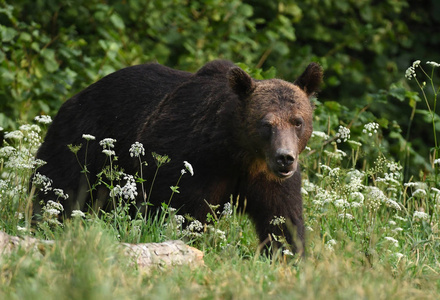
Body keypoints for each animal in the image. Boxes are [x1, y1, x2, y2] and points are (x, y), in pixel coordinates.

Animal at [33, 59, 324, 254]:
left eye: (297, 121)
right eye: (267, 124)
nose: (285, 158)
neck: (238, 153)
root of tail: (76, 96)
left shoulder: (269, 179)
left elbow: (282, 221)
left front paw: (287, 255)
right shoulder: (193, 162)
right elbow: (185, 212)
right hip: (80, 140)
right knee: (58, 185)